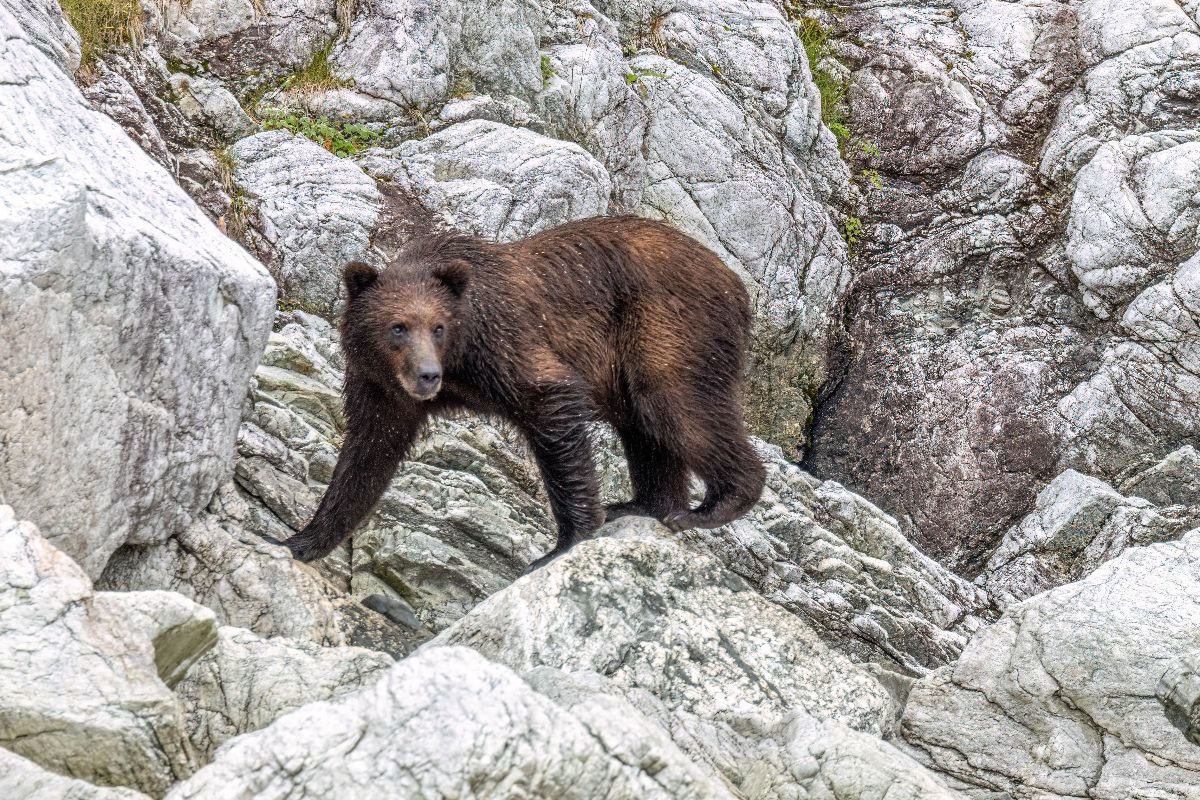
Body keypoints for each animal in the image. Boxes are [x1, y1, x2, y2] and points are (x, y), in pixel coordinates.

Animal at [280, 215, 766, 571]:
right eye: (397, 327)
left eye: (438, 327)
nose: (428, 376)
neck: (460, 361)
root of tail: (736, 282)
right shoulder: (381, 387)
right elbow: (367, 453)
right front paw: (300, 540)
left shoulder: (503, 344)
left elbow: (551, 403)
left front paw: (565, 540)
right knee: (644, 427)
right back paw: (643, 505)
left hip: (668, 326)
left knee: (675, 405)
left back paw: (710, 506)